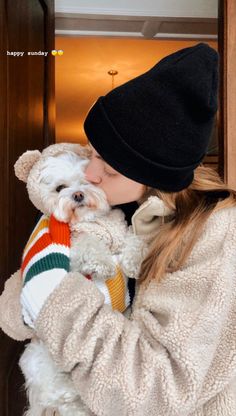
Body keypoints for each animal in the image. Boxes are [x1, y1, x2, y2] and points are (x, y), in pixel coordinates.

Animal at [15, 144, 148, 416]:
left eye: (86, 181)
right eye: (59, 188)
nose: (77, 195)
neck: (93, 221)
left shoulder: (120, 230)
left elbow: (132, 239)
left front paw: (134, 260)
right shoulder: (72, 249)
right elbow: (89, 244)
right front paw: (103, 264)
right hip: (41, 361)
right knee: (63, 396)